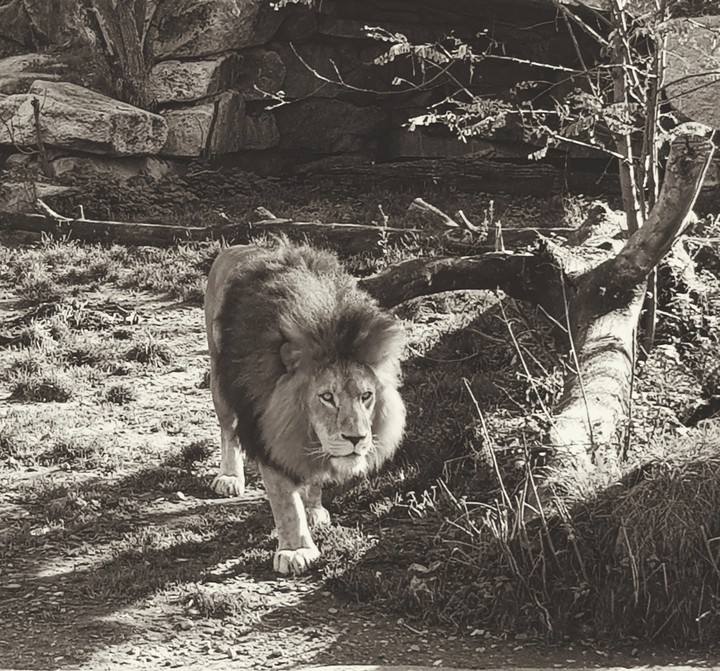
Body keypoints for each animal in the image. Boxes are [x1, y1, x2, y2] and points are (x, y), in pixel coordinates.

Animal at [204, 240, 406, 575]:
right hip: (220, 382)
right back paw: (230, 477)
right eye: (326, 397)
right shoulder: (267, 431)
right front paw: (296, 550)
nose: (356, 438)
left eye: (366, 396)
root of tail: (238, 246)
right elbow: (285, 501)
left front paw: (313, 508)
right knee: (228, 430)